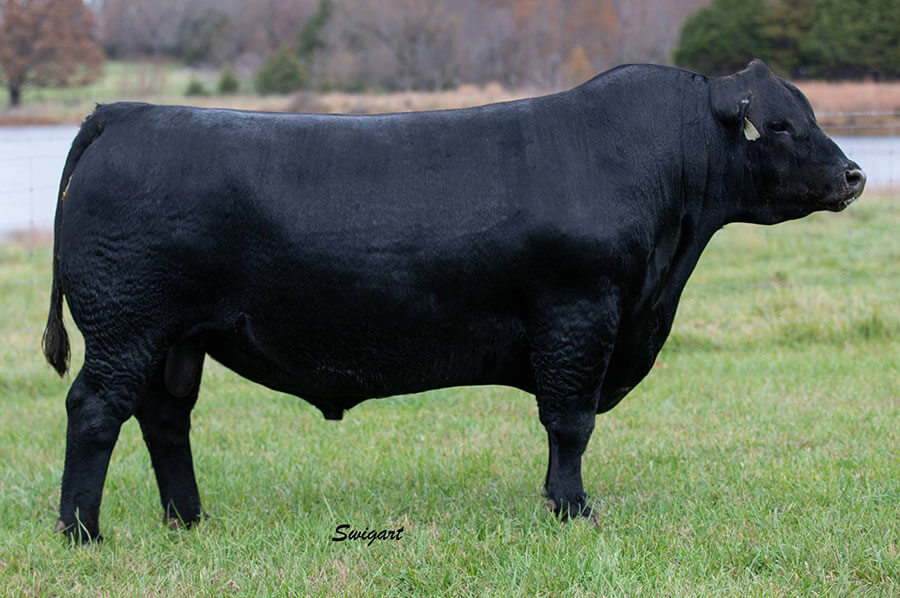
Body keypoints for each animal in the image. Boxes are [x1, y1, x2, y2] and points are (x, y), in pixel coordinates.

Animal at [43, 60, 865, 542]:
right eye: (780, 124)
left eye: (811, 114)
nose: (855, 175)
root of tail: (125, 111)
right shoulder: (579, 317)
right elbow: (571, 424)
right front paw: (572, 511)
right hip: (125, 323)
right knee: (95, 409)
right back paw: (82, 532)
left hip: (174, 338)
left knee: (165, 418)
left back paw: (188, 520)